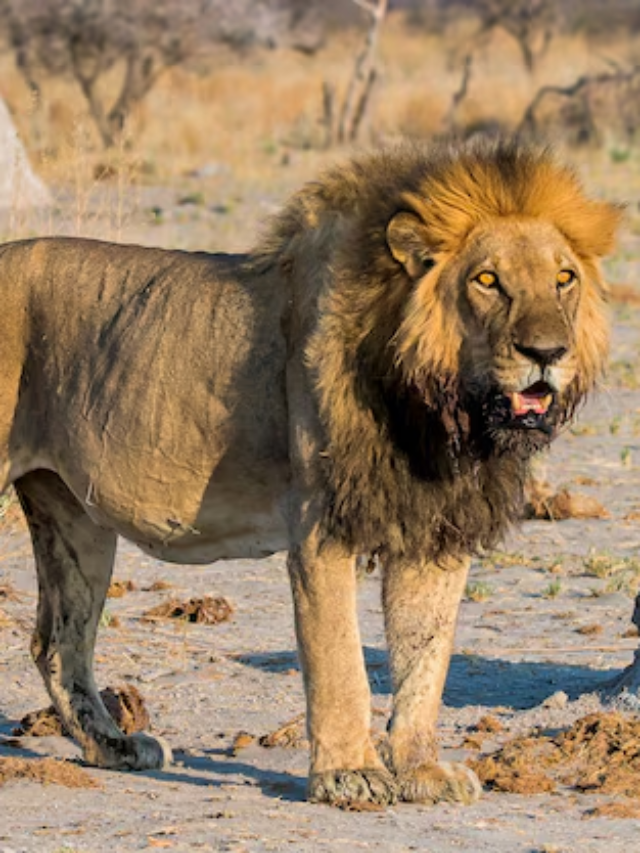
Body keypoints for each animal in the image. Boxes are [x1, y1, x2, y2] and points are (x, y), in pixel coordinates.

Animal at [0, 138, 622, 807]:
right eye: (487, 280)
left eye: (564, 279)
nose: (547, 353)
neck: (440, 411)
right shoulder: (323, 526)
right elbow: (341, 660)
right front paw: (351, 774)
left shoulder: (436, 528)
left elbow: (425, 658)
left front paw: (422, 770)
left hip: (73, 514)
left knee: (57, 643)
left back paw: (114, 747)